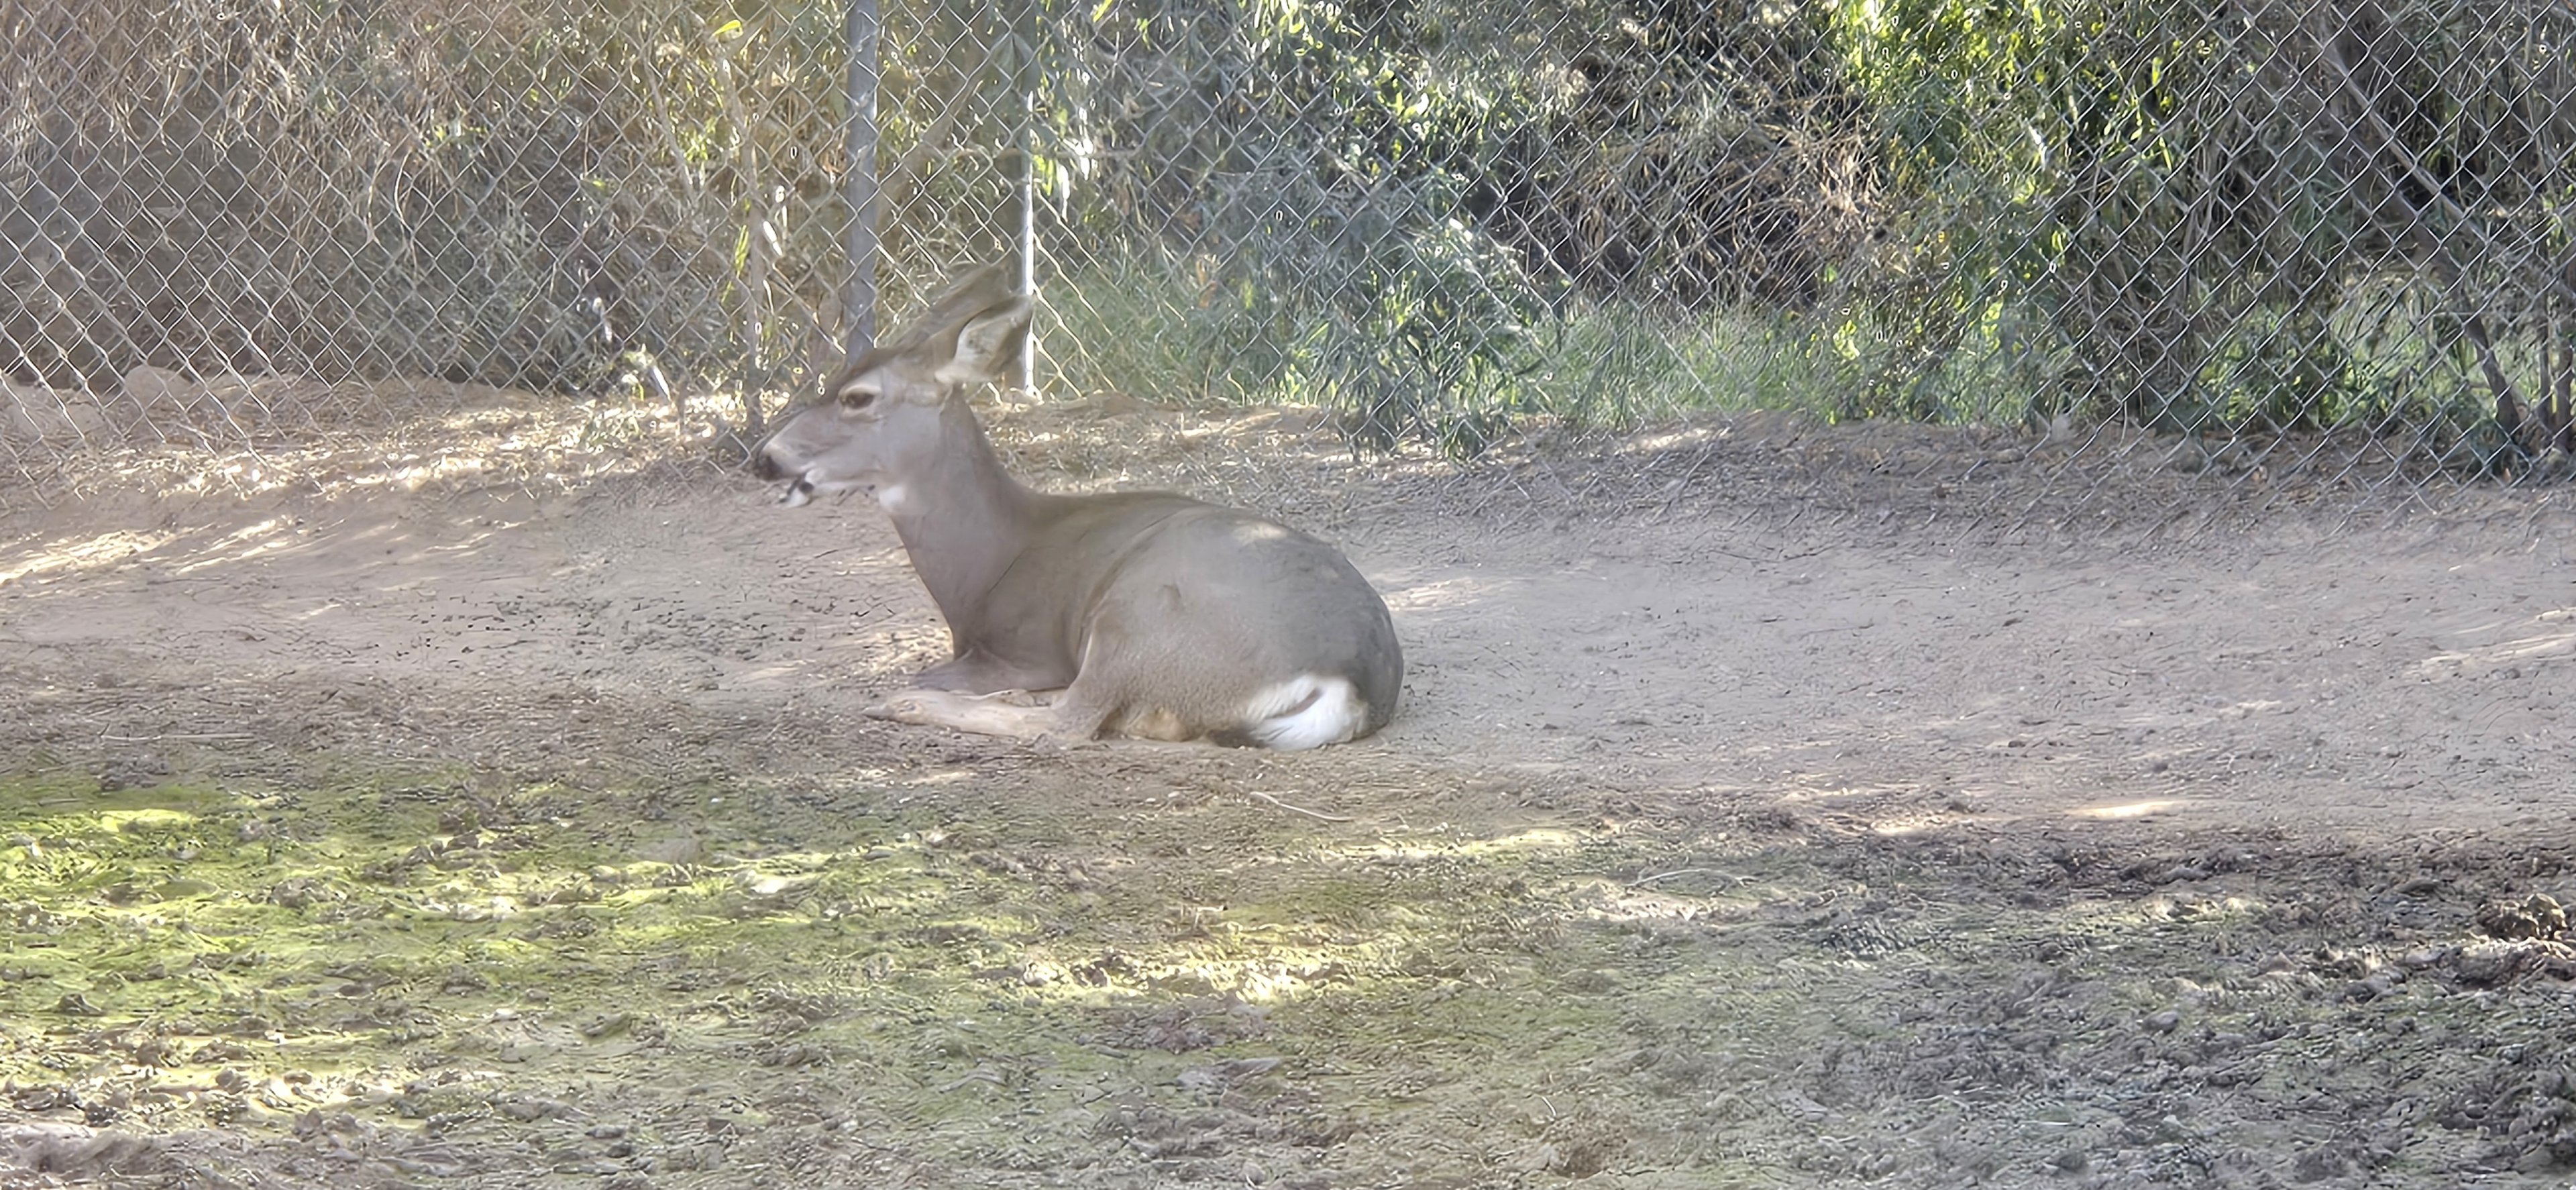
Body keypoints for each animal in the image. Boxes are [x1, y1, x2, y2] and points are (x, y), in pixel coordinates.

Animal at [752, 263, 1403, 750]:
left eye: (858, 397)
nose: (767, 457)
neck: (989, 564)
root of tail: (1350, 679)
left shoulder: (1022, 650)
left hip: (1137, 617)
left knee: (1069, 722)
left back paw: (905, 704)